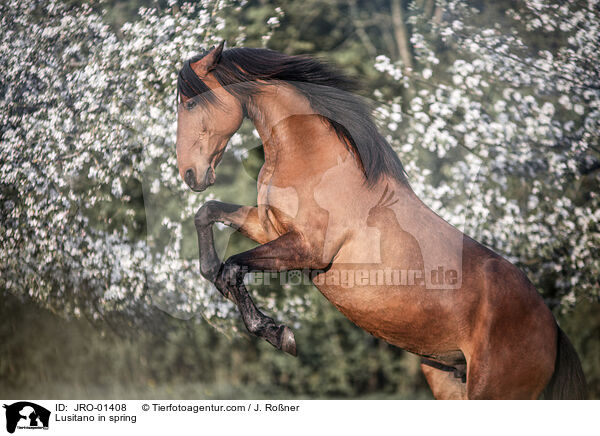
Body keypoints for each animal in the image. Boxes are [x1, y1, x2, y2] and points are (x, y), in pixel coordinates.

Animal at [173, 41, 584, 398]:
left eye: (192, 103)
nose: (190, 174)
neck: (315, 159)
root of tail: (553, 329)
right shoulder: (268, 228)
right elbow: (207, 217)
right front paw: (215, 277)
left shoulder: (307, 250)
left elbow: (233, 267)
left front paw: (278, 334)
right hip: (447, 379)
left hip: (492, 393)